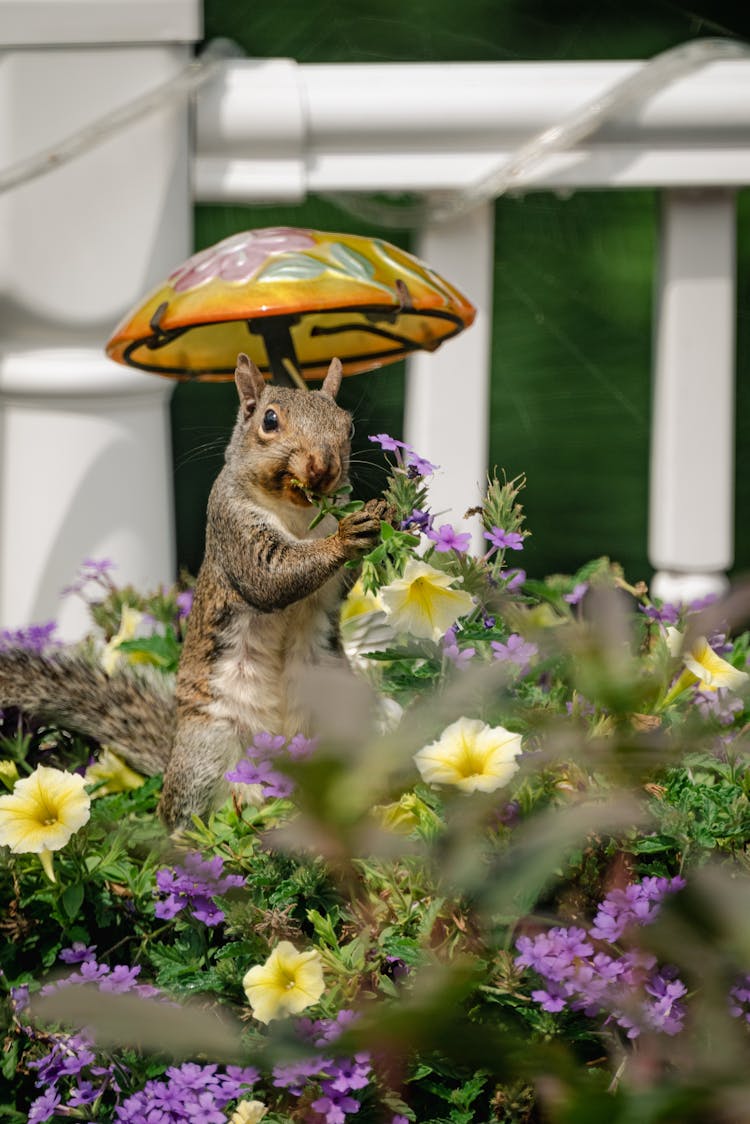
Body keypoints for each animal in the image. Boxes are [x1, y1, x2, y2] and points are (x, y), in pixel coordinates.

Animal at [0, 355, 386, 831]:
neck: (298, 514)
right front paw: (346, 539)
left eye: (347, 426)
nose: (323, 468)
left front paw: (380, 517)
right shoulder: (231, 524)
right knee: (181, 814)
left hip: (342, 720)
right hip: (206, 748)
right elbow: (269, 577)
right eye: (269, 420)